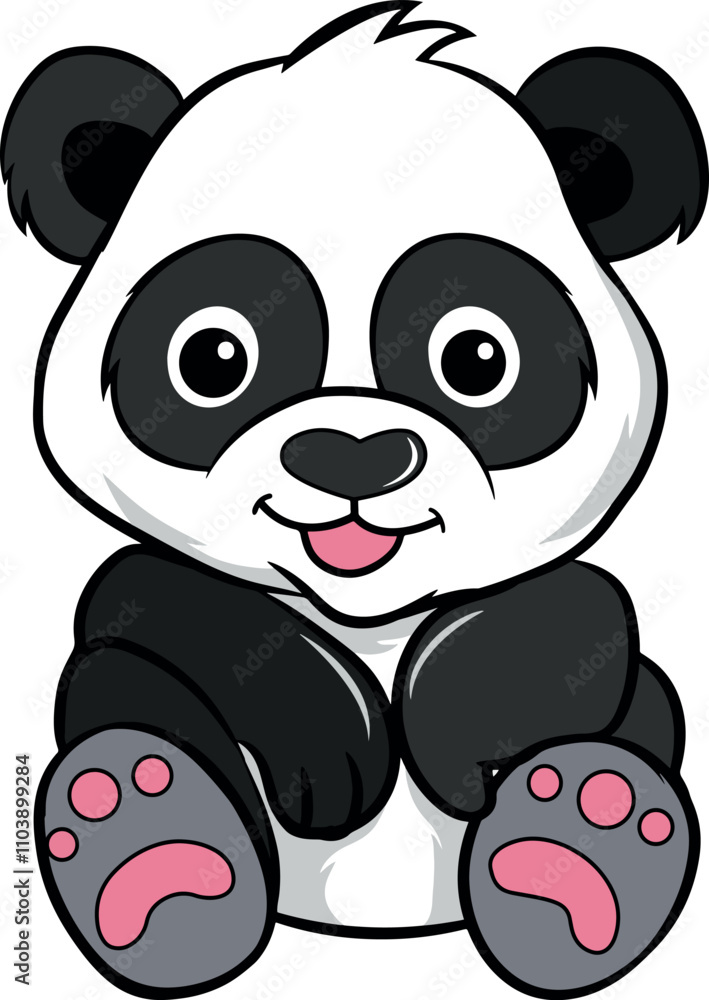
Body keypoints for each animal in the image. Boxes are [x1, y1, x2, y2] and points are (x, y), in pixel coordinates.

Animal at [3, 2, 707, 997]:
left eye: (476, 359)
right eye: (213, 358)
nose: (353, 455)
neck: (368, 621)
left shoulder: (567, 603)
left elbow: (575, 612)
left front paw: (459, 731)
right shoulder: (154, 593)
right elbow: (151, 601)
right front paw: (331, 746)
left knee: (644, 715)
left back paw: (582, 843)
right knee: (122, 697)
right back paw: (153, 846)